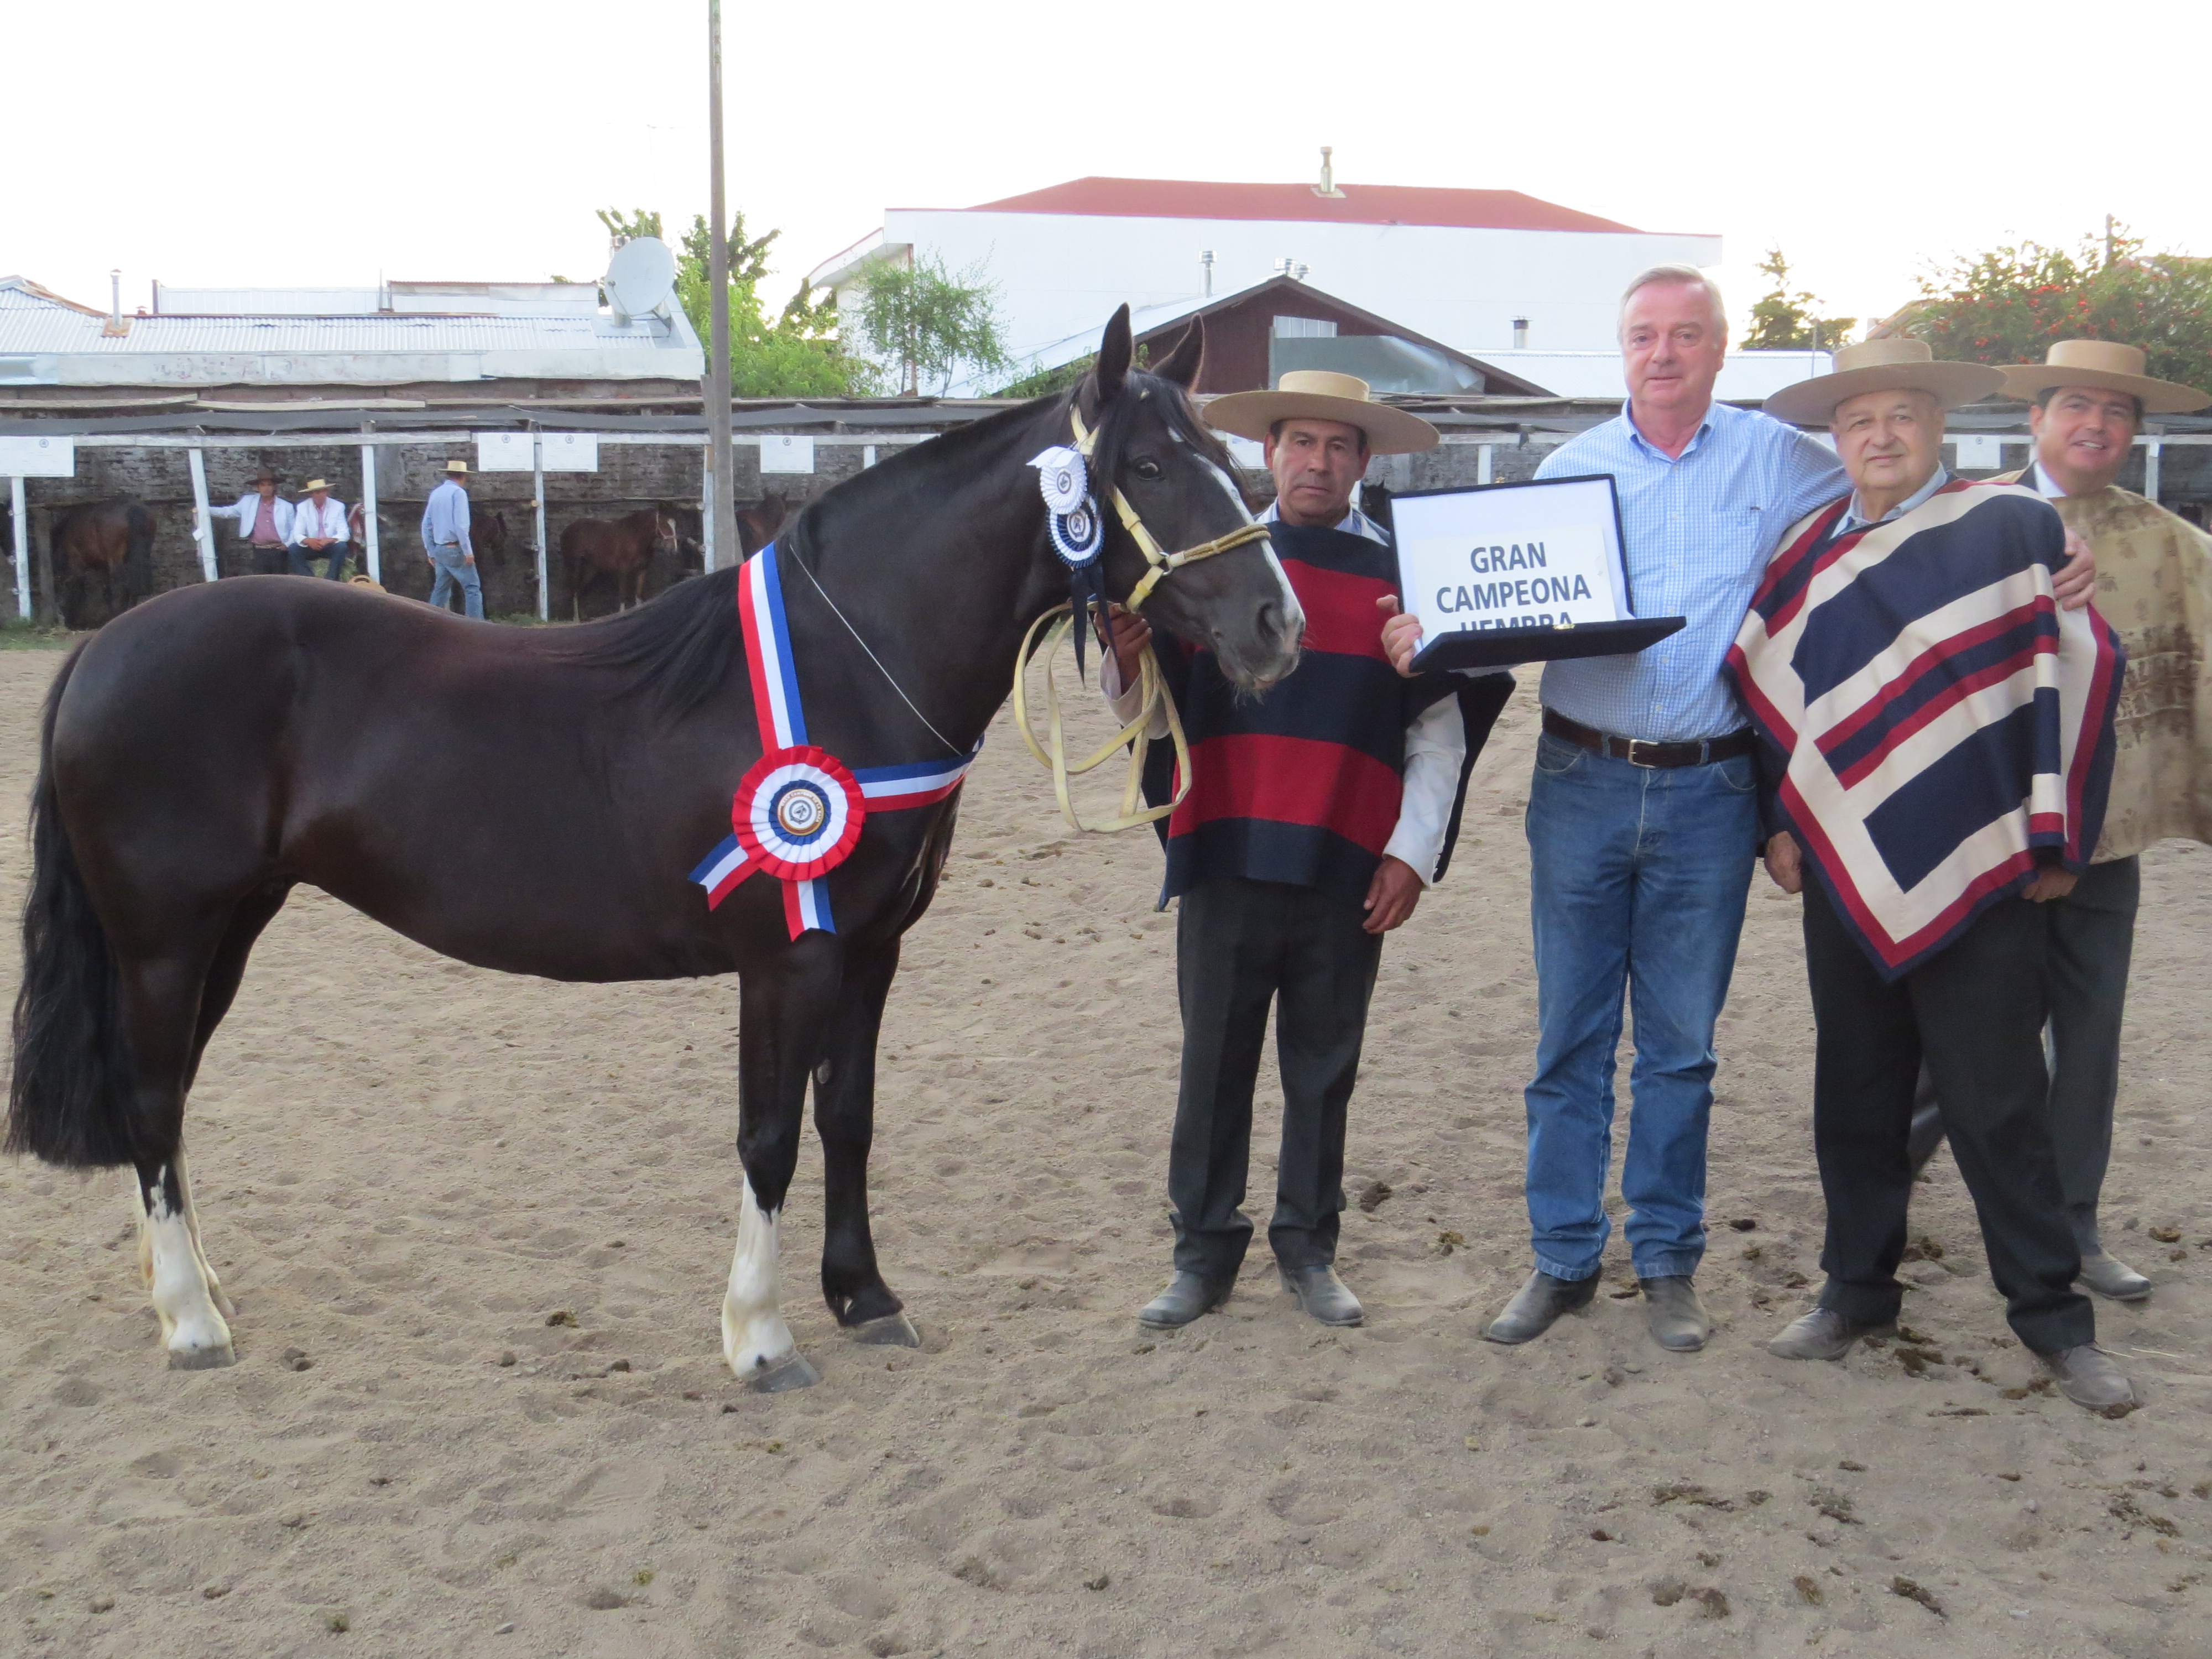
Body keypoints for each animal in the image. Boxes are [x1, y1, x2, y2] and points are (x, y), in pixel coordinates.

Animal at [49, 498, 157, 627]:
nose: (66, 622)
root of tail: (134, 510)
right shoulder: (103, 566)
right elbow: (106, 591)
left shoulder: (77, 565)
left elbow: (79, 587)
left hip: (116, 560)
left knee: (122, 586)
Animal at [561, 506, 680, 618]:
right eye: (664, 525)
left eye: (674, 526)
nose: (673, 550)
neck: (635, 538)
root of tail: (566, 530)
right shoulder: (623, 571)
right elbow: (623, 596)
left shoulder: (642, 570)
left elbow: (638, 596)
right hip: (574, 566)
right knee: (573, 590)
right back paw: (576, 618)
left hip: (590, 569)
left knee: (580, 589)